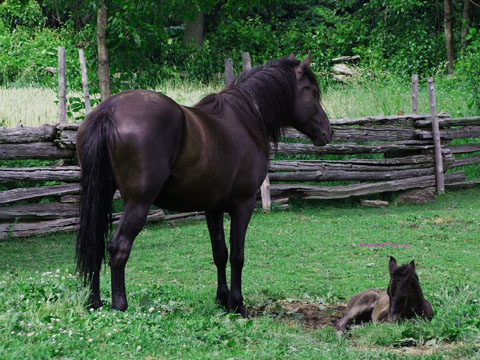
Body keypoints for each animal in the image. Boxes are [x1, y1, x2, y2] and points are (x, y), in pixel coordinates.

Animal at [76, 52, 330, 316]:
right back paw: (119, 305)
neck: (245, 119)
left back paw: (94, 302)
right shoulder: (243, 204)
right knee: (118, 246)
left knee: (95, 244)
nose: (327, 131)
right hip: (138, 203)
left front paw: (222, 298)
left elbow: (220, 253)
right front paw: (238, 304)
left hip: (102, 195)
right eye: (313, 92)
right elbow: (237, 255)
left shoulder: (213, 208)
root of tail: (108, 111)